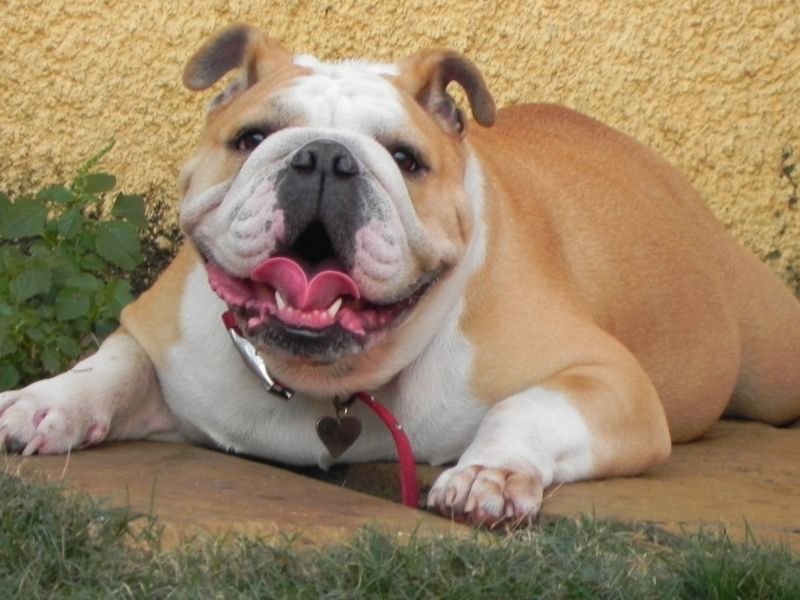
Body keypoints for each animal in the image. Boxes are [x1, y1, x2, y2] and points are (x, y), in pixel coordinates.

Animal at [2, 23, 799, 526]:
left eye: (406, 158)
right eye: (252, 138)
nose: (324, 157)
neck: (333, 382)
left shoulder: (612, 381)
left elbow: (528, 408)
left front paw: (488, 474)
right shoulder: (162, 338)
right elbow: (109, 367)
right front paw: (43, 404)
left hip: (769, 362)